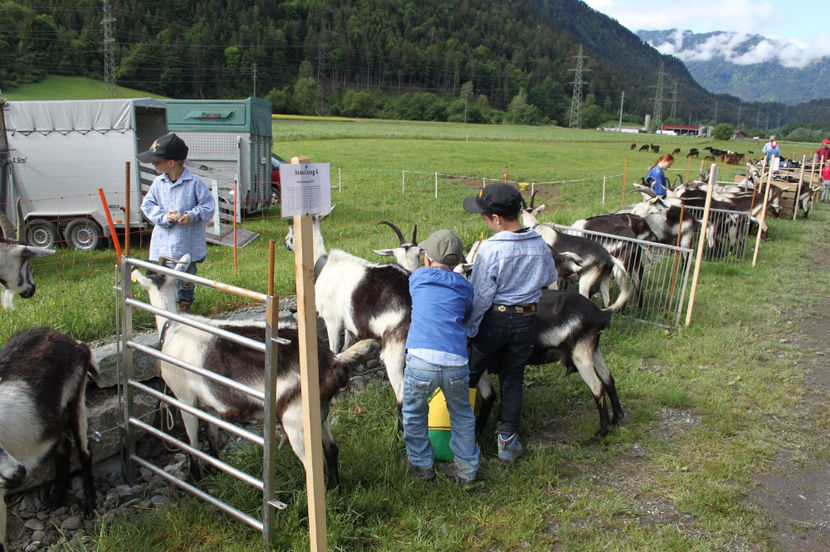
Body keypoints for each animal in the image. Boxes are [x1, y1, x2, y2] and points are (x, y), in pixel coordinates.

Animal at [0, 326, 96, 548]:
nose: (19, 473)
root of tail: (73, 342)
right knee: (63, 449)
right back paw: (55, 499)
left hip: (76, 398)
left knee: (83, 451)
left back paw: (89, 505)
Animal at [132, 256, 376, 486]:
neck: (172, 326)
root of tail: (333, 359)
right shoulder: (209, 404)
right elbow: (211, 435)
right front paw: (215, 470)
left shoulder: (185, 397)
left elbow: (192, 443)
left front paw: (197, 479)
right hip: (320, 411)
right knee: (331, 449)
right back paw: (336, 489)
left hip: (294, 418)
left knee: (312, 466)